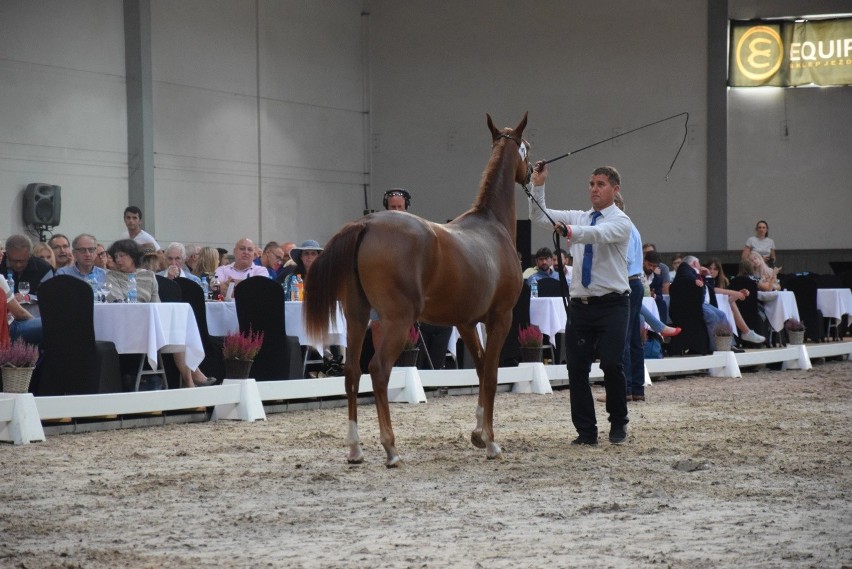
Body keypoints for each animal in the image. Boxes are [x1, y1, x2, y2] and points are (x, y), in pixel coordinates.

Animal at [306, 112, 528, 466]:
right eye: (527, 148)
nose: (533, 171)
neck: (491, 225)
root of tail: (366, 223)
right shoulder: (500, 318)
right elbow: (492, 375)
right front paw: (491, 442)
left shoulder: (466, 323)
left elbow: (480, 369)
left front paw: (478, 434)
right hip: (397, 322)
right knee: (378, 370)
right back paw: (391, 450)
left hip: (357, 318)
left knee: (352, 372)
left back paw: (355, 449)